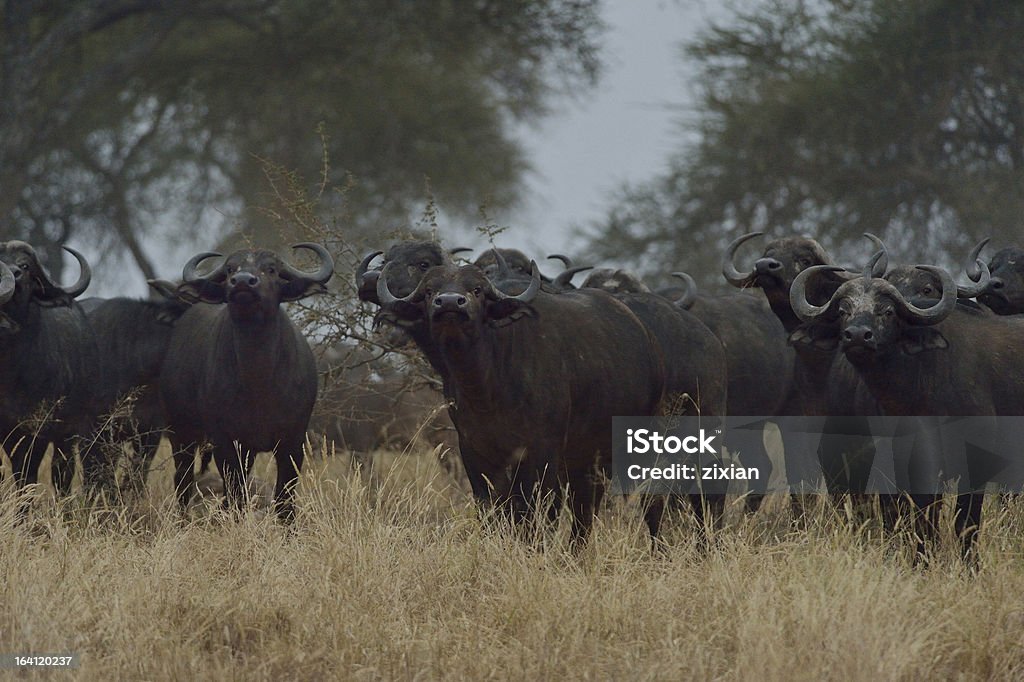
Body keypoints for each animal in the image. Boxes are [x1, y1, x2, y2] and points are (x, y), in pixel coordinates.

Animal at [159, 241, 333, 518]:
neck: (257, 381)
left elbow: (284, 499)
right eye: (230, 269)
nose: (242, 282)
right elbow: (235, 494)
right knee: (183, 479)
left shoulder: (292, 442)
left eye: (271, 269)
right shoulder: (226, 442)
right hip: (181, 432)